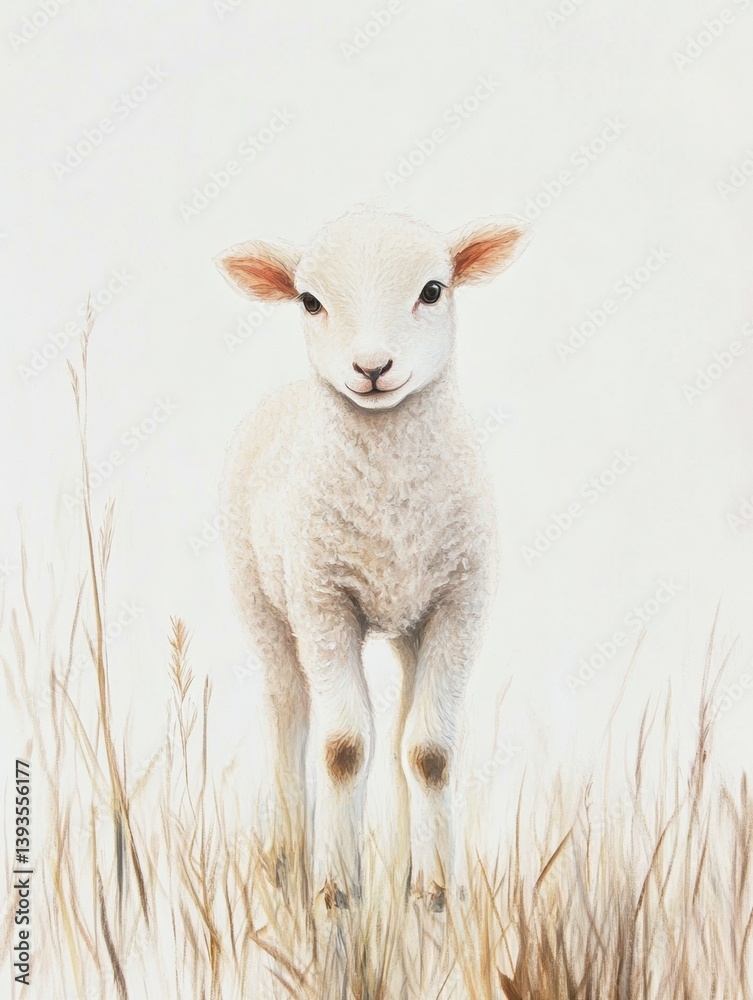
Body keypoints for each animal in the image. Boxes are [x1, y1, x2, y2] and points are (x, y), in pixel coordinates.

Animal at [215, 207, 531, 912]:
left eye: (433, 290)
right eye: (310, 301)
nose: (372, 366)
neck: (391, 512)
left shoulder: (459, 601)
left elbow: (431, 752)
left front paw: (438, 893)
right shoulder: (322, 600)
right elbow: (342, 747)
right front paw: (336, 890)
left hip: (411, 622)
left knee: (406, 734)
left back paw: (412, 870)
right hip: (263, 603)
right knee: (287, 714)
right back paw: (286, 857)